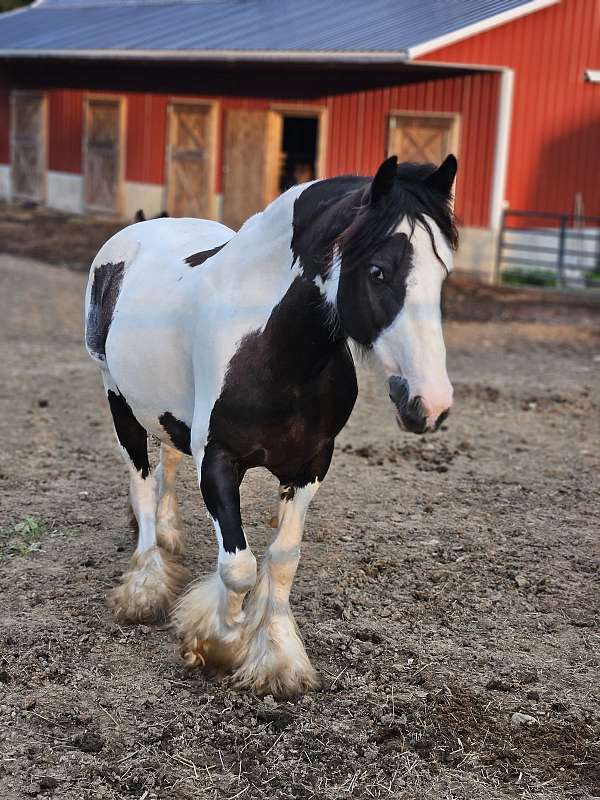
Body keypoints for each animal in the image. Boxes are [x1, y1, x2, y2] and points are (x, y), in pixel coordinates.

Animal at [84, 154, 458, 697]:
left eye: (443, 272)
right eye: (378, 271)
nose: (431, 403)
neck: (271, 344)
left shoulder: (311, 464)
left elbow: (282, 559)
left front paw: (277, 655)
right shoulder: (218, 462)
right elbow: (238, 567)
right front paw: (214, 641)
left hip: (168, 411)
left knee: (166, 462)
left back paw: (170, 536)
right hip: (118, 397)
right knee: (141, 482)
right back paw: (146, 585)